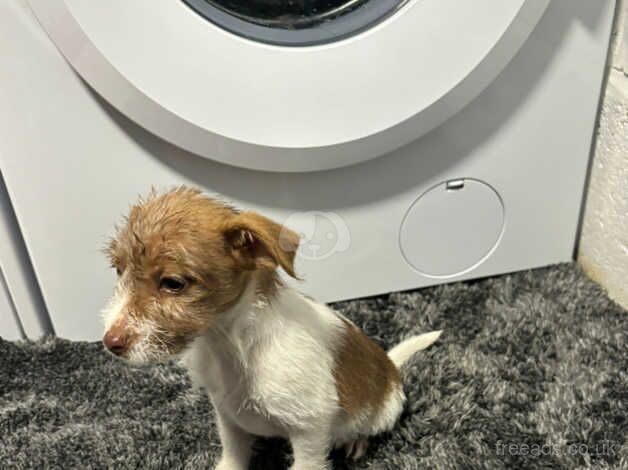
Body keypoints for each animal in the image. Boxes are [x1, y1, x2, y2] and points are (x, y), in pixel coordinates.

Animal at [102, 185, 442, 468]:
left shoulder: (309, 429)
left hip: (384, 410)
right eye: (119, 270)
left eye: (173, 283)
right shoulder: (227, 416)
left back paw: (357, 441)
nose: (109, 342)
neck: (230, 344)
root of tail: (390, 366)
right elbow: (234, 454)